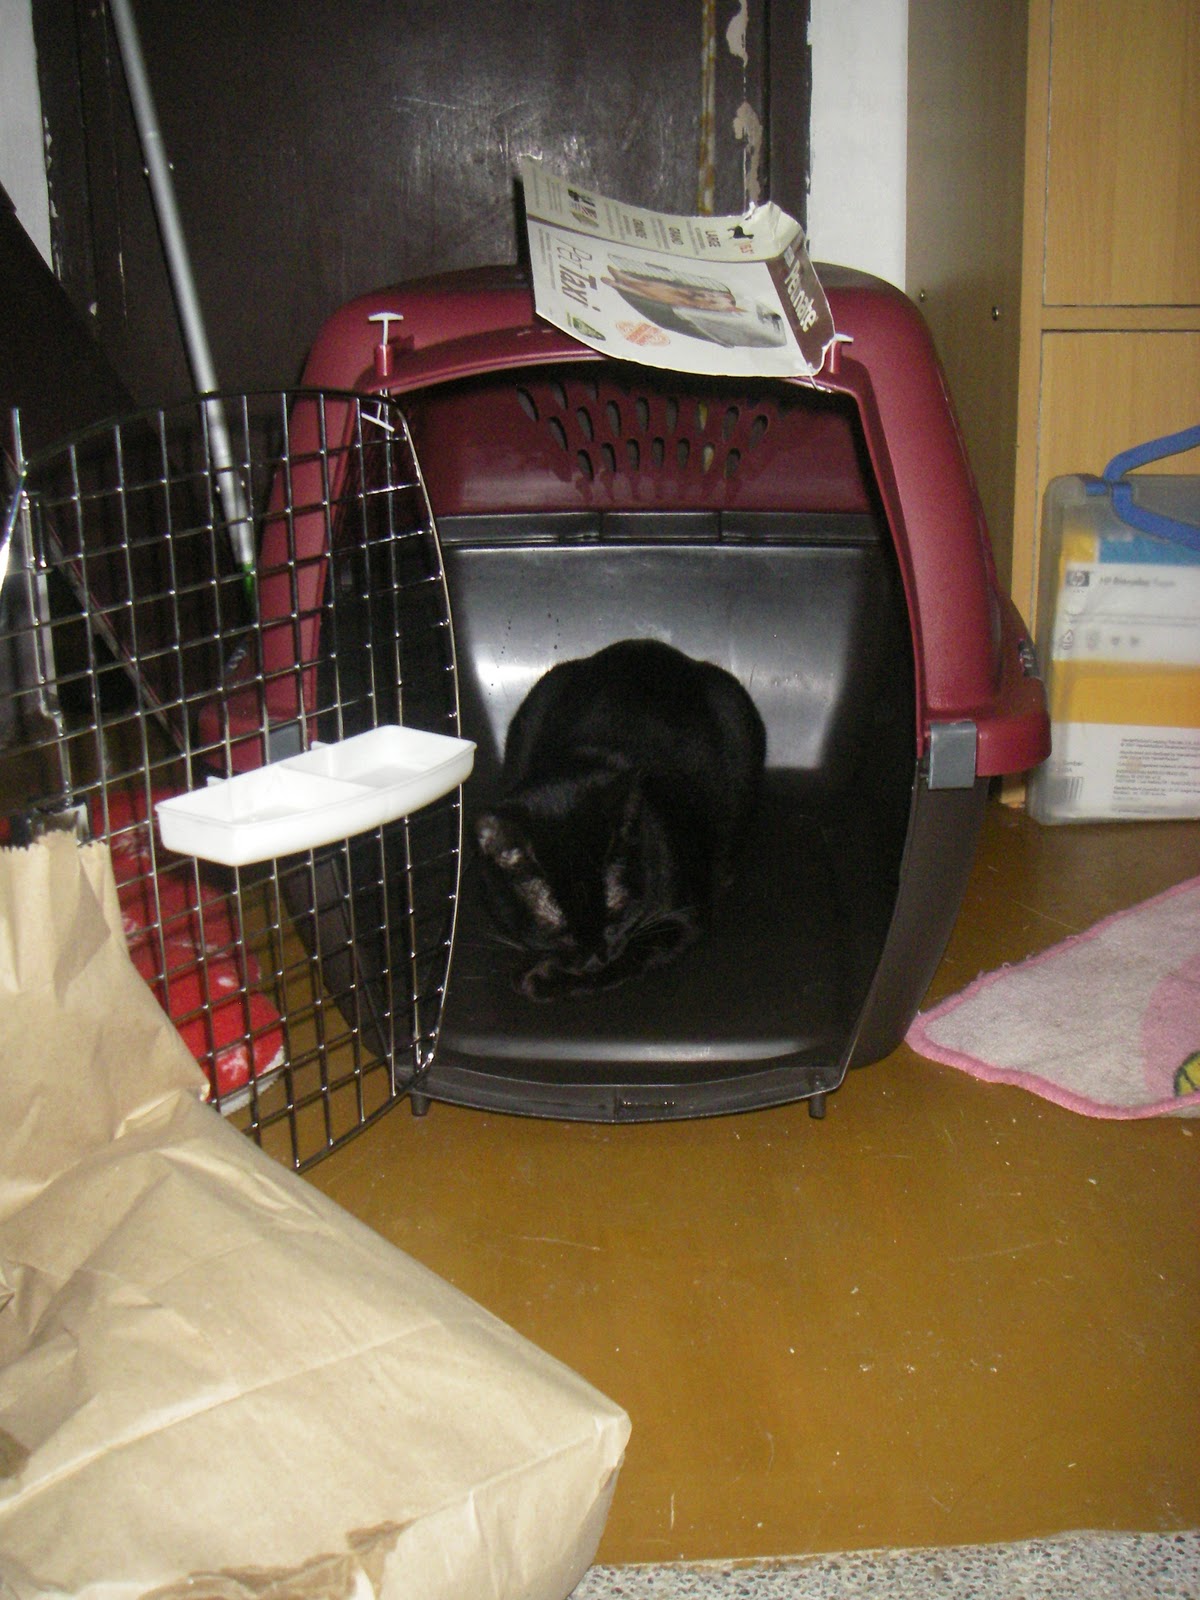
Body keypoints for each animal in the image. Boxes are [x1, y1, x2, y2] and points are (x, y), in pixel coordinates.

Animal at [473, 638, 766, 1001]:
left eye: (615, 913)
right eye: (559, 930)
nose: (595, 957)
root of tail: (649, 647)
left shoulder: (681, 917)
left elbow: (634, 953)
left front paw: (540, 979)